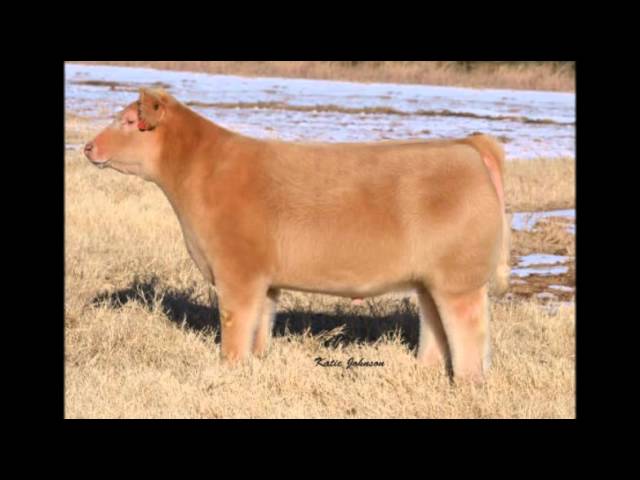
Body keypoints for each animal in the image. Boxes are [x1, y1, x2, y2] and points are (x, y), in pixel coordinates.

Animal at [84, 88, 510, 382]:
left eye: (127, 121)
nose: (87, 147)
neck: (202, 171)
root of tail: (467, 145)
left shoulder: (237, 273)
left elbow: (235, 325)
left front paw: (229, 370)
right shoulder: (265, 280)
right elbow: (260, 326)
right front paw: (254, 365)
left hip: (459, 280)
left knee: (468, 329)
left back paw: (467, 383)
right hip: (430, 280)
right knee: (435, 325)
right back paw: (426, 373)